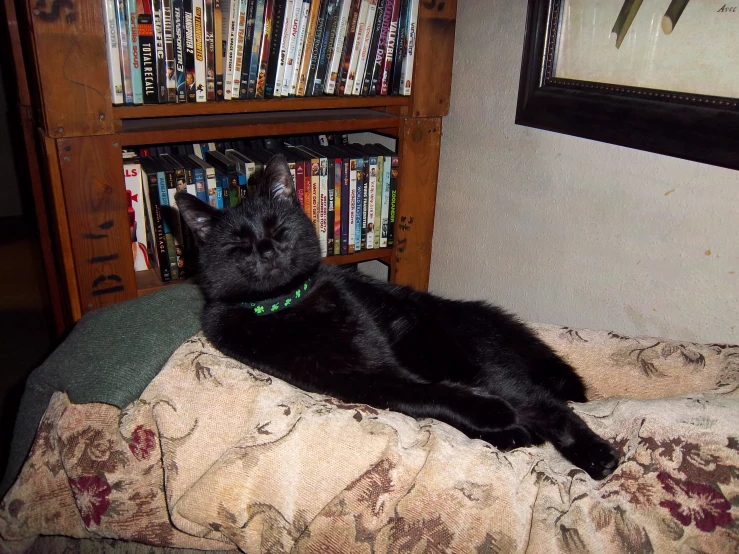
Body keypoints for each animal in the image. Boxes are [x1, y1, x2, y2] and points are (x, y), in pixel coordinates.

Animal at [176, 153, 620, 476]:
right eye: (238, 244)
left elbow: (442, 392)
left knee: (548, 404)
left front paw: (501, 417)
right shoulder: (366, 379)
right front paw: (497, 419)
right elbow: (428, 395)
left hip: (467, 356)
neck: (289, 306)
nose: (267, 250)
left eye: (279, 229)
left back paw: (598, 456)